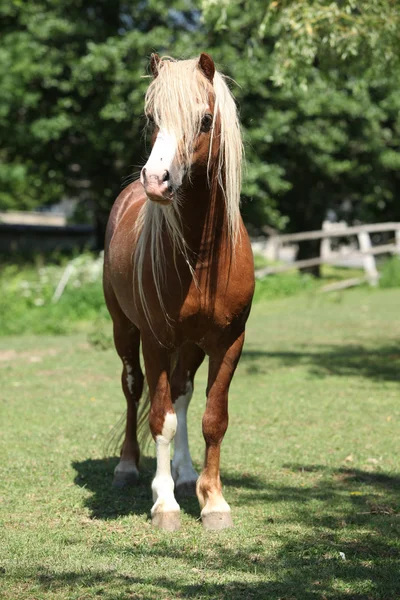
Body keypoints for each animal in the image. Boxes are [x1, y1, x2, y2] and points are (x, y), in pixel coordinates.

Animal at [103, 52, 253, 528]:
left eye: (204, 120)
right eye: (152, 119)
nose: (156, 180)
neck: (202, 259)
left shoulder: (228, 342)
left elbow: (212, 418)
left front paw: (213, 500)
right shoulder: (156, 340)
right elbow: (161, 418)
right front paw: (164, 504)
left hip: (191, 345)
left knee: (184, 393)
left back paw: (186, 474)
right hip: (125, 330)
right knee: (133, 388)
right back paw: (129, 467)